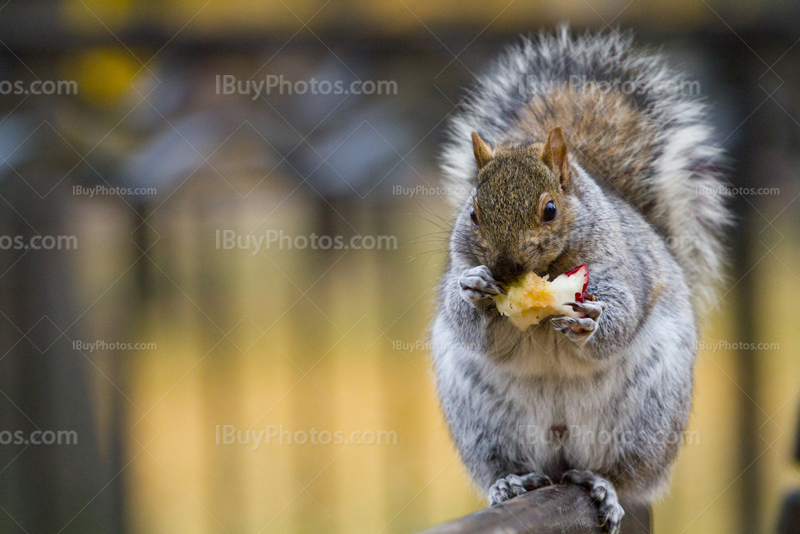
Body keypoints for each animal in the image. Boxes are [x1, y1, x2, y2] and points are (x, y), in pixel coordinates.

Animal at [432, 26, 732, 534]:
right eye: (472, 213)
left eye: (550, 210)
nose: (504, 270)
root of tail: (560, 455)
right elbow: (476, 328)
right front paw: (473, 291)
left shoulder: (621, 266)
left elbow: (621, 315)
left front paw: (589, 321)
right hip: (482, 421)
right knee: (507, 464)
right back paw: (510, 483)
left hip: (644, 418)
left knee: (622, 474)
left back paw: (601, 484)